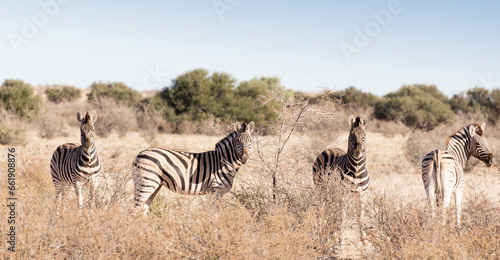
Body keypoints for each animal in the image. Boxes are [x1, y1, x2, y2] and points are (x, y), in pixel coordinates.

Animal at [312, 115, 372, 246]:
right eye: (351, 135)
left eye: (364, 135)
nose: (358, 152)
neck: (356, 170)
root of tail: (329, 148)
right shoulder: (344, 193)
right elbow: (342, 216)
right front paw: (340, 238)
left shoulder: (362, 194)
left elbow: (360, 217)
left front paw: (364, 239)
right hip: (320, 188)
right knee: (321, 209)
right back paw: (320, 232)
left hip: (331, 192)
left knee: (330, 209)